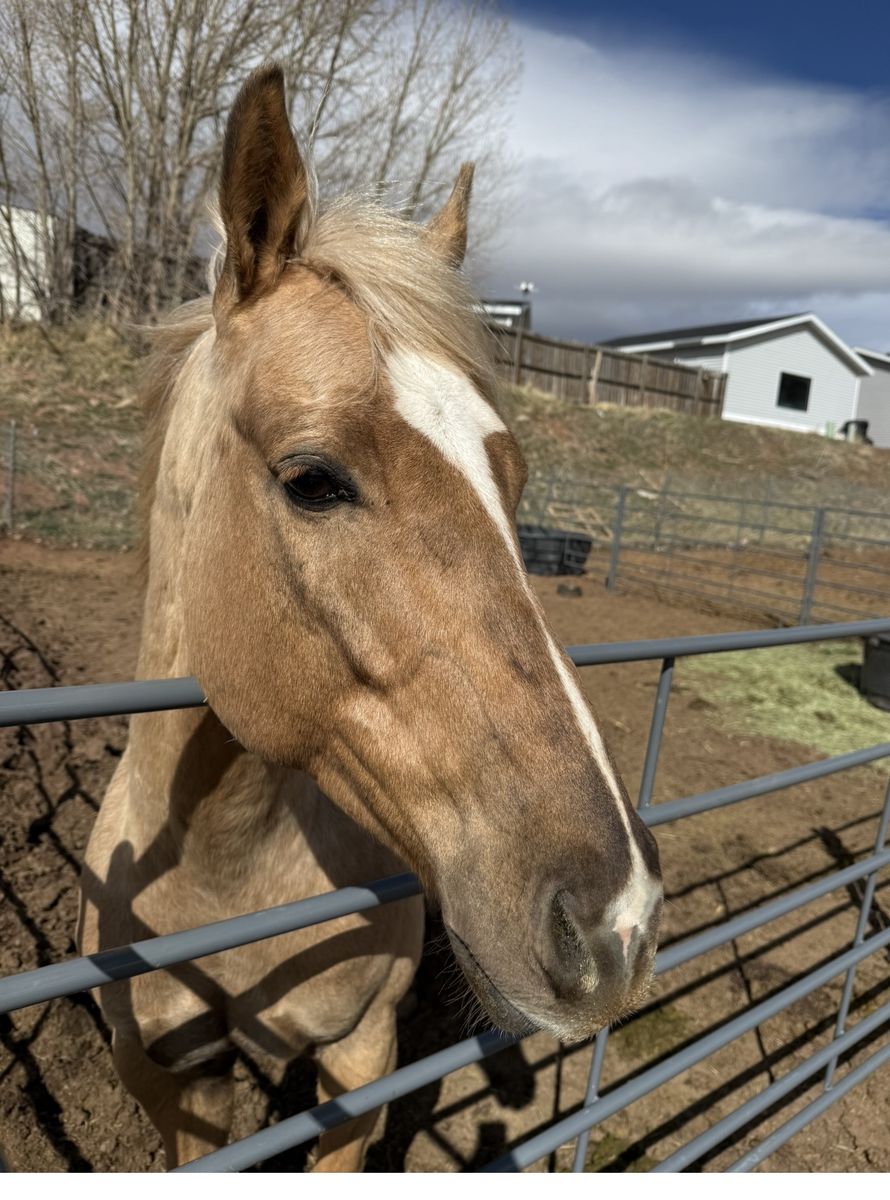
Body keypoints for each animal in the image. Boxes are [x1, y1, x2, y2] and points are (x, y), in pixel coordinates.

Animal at [77, 64, 663, 1172]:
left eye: (511, 477)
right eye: (313, 480)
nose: (615, 922)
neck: (219, 869)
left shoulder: (359, 1058)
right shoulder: (169, 1073)